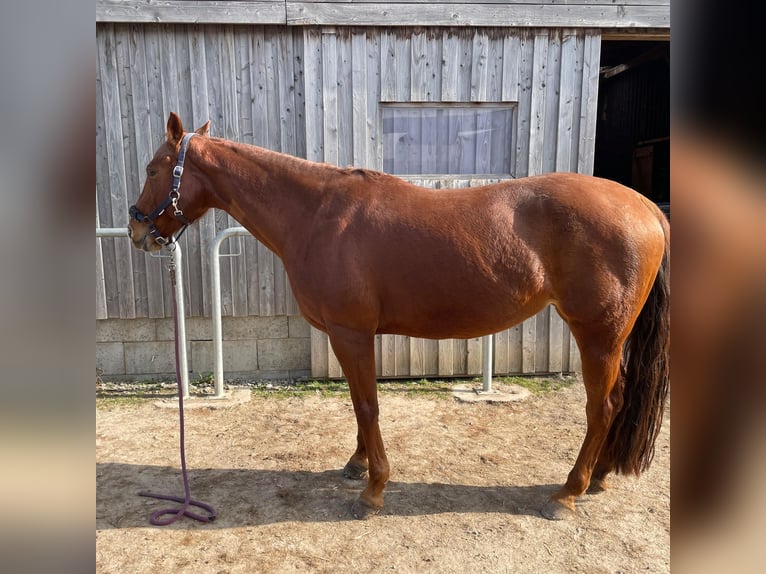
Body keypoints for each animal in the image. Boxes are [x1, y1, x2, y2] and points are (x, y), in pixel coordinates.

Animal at [128, 112, 669, 520]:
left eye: (154, 168)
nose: (136, 231)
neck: (318, 215)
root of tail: (644, 206)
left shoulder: (350, 333)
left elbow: (368, 406)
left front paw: (373, 490)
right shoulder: (349, 336)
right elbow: (357, 404)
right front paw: (357, 465)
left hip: (597, 335)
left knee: (601, 406)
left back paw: (567, 493)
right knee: (618, 399)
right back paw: (599, 478)